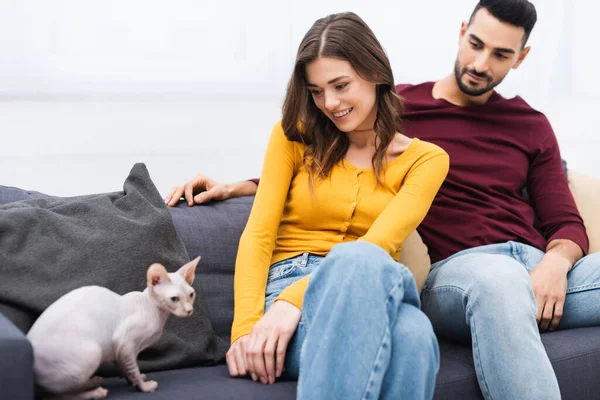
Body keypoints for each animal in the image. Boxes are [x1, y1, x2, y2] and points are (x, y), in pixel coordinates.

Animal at [27, 258, 200, 398]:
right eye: (174, 298)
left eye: (191, 295)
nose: (189, 310)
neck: (153, 309)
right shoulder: (125, 344)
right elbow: (132, 367)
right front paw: (143, 386)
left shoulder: (117, 351)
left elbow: (124, 367)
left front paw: (133, 381)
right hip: (92, 352)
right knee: (56, 396)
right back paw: (95, 392)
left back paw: (92, 382)